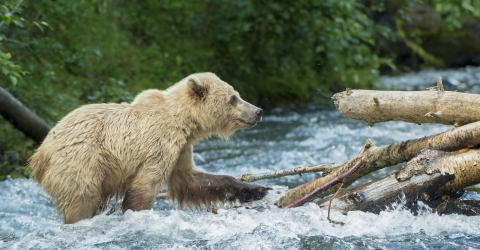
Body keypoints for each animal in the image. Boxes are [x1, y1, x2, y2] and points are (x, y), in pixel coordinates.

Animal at [29, 73, 270, 225]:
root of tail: (40, 154)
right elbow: (145, 187)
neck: (184, 122)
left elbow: (191, 181)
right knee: (82, 200)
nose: (258, 111)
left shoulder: (181, 149)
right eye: (233, 98)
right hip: (81, 162)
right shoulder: (159, 145)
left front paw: (256, 189)